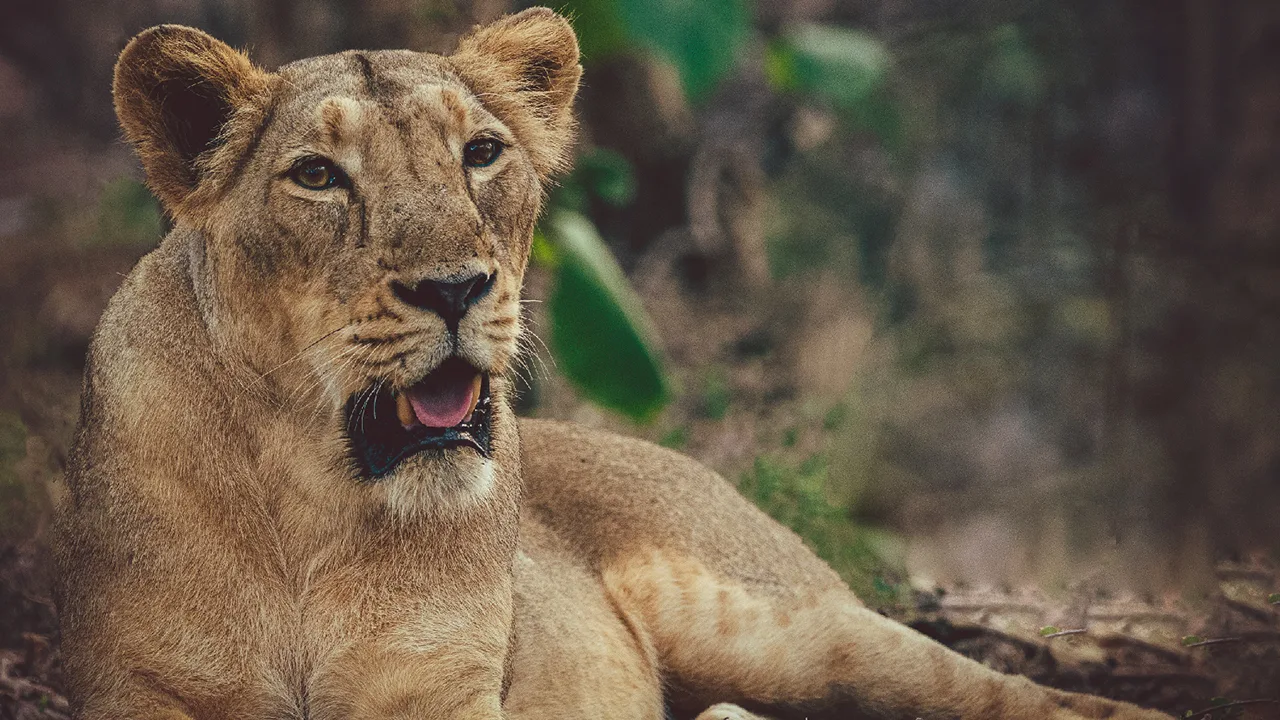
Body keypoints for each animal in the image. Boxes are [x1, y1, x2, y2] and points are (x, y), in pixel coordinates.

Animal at [53, 8, 1172, 720]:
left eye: (481, 154)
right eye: (318, 177)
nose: (456, 289)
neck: (306, 502)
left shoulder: (443, 690)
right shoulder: (135, 690)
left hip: (783, 627)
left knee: (1020, 696)